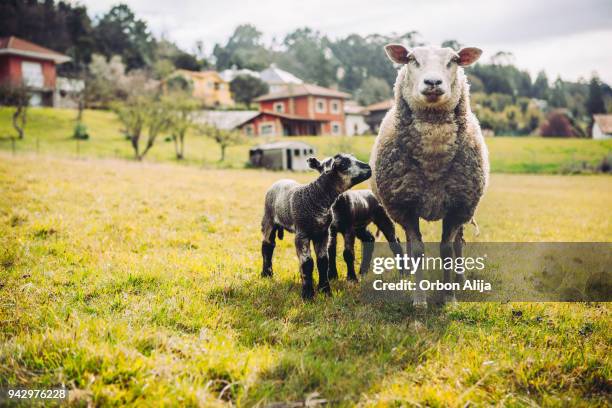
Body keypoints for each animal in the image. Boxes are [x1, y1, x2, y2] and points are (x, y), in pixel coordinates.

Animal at [260, 153, 370, 300]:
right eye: (343, 164)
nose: (369, 167)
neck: (316, 198)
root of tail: (280, 180)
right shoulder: (302, 234)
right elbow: (307, 263)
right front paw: (308, 295)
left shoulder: (323, 233)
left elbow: (323, 261)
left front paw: (325, 290)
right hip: (269, 219)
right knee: (267, 245)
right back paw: (266, 274)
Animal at [368, 45, 492, 306]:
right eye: (411, 59)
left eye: (454, 60)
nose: (433, 82)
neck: (433, 160)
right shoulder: (405, 207)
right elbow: (417, 250)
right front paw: (419, 299)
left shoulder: (458, 207)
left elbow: (447, 250)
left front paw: (449, 297)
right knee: (408, 241)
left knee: (458, 243)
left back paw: (460, 278)